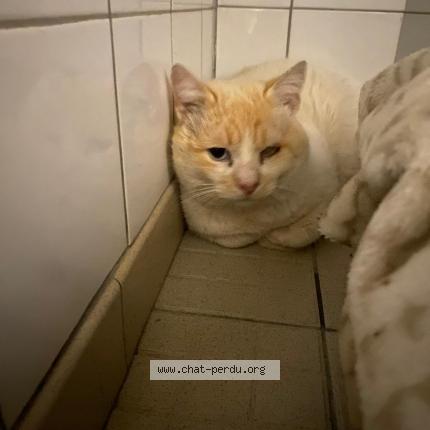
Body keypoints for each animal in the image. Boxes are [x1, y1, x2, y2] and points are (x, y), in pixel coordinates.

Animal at [170, 59, 360, 248]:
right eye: (218, 153)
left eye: (270, 151)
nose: (248, 184)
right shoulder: (201, 221)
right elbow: (235, 239)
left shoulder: (327, 198)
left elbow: (301, 233)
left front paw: (271, 238)